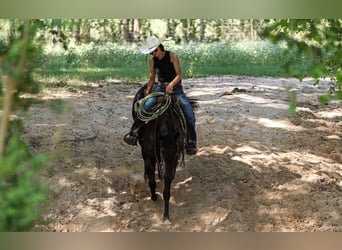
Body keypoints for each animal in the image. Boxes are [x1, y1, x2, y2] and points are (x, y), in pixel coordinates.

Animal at [130, 84, 191, 221]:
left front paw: (166, 215)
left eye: (176, 155)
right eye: (163, 152)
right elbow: (152, 179)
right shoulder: (149, 153)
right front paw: (153, 196)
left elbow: (167, 184)